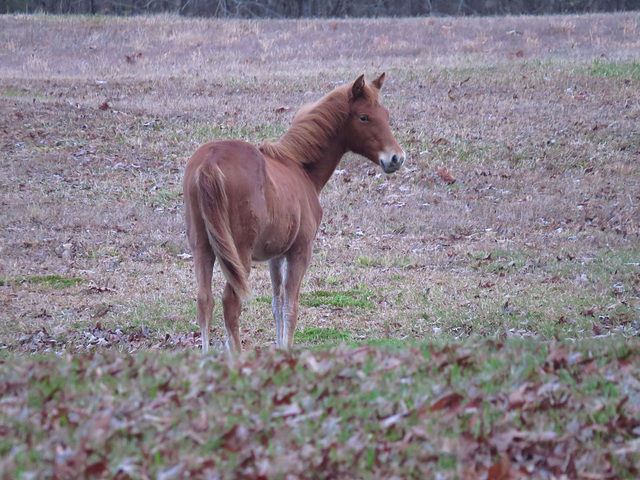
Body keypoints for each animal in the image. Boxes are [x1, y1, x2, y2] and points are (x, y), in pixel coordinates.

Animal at [182, 73, 404, 354]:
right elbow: (291, 307)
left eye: (386, 115)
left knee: (204, 301)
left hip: (202, 246)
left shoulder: (275, 256)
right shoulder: (300, 251)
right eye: (364, 117)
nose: (396, 158)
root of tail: (210, 161)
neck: (300, 168)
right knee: (230, 302)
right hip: (238, 253)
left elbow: (276, 304)